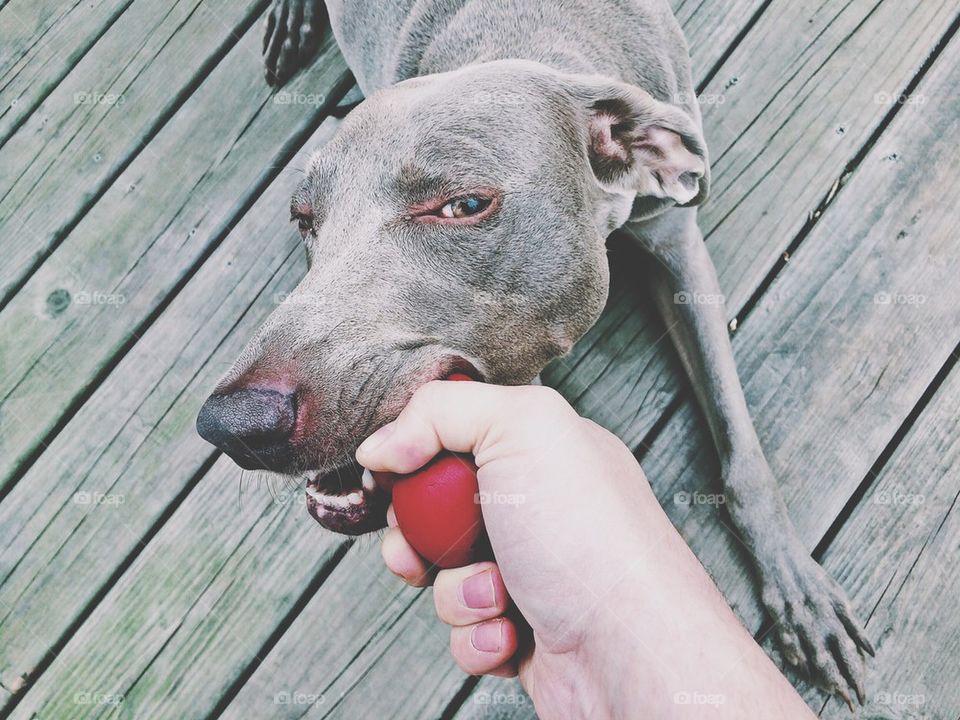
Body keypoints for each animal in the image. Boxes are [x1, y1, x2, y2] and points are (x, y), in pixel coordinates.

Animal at [199, 0, 872, 704]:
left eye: (463, 205)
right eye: (306, 221)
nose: (232, 425)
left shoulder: (675, 238)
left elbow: (742, 448)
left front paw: (800, 591)